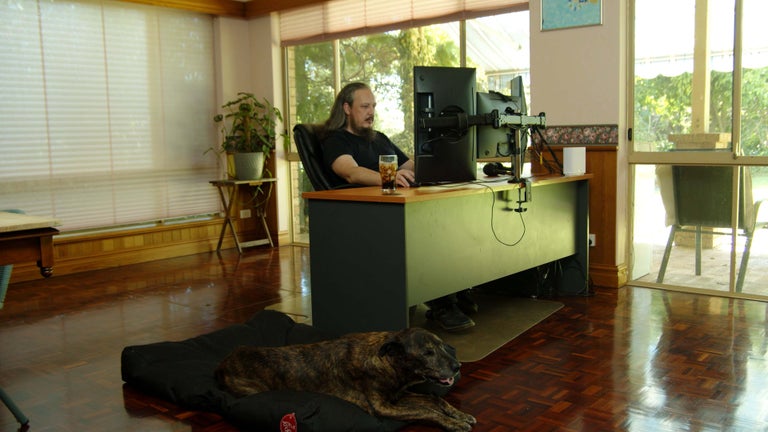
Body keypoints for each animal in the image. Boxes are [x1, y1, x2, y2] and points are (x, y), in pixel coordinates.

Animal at [214, 328, 474, 432]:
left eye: (441, 345)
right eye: (427, 352)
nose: (457, 366)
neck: (387, 361)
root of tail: (223, 362)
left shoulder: (397, 397)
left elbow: (434, 400)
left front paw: (459, 415)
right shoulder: (383, 408)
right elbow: (427, 411)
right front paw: (453, 423)